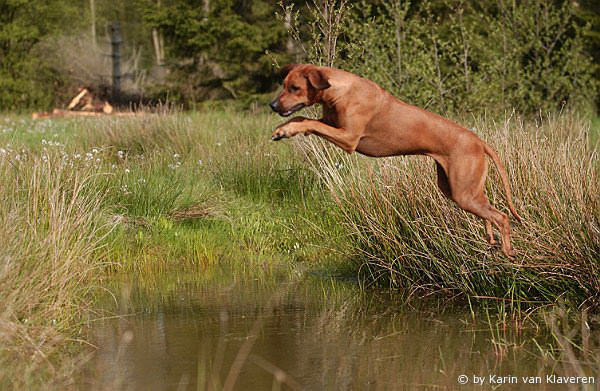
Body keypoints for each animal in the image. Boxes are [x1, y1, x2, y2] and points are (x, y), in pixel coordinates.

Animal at [270, 63, 524, 260]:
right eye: (284, 85)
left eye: (295, 88)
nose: (273, 105)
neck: (341, 90)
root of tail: (478, 140)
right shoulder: (331, 123)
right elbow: (303, 117)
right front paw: (284, 128)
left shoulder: (348, 138)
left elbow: (310, 122)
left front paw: (289, 129)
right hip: (458, 189)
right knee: (489, 209)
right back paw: (490, 236)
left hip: (463, 192)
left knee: (502, 216)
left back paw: (508, 250)